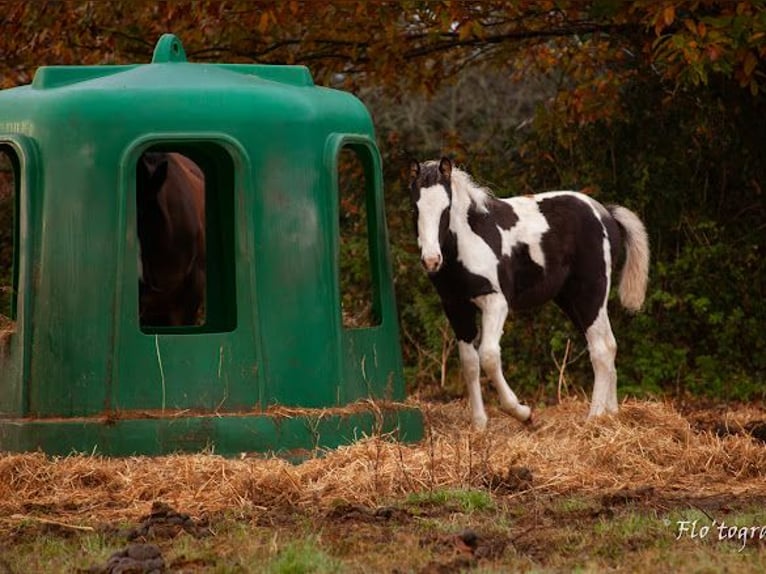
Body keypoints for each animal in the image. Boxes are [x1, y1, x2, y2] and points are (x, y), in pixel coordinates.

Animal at [412, 158, 652, 432]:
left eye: (446, 208)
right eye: (416, 208)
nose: (431, 260)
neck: (469, 240)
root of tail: (606, 214)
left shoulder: (496, 302)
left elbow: (489, 356)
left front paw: (523, 413)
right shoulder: (456, 308)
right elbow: (470, 363)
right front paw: (480, 425)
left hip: (591, 293)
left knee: (601, 350)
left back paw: (593, 418)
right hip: (570, 300)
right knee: (609, 344)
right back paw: (610, 416)